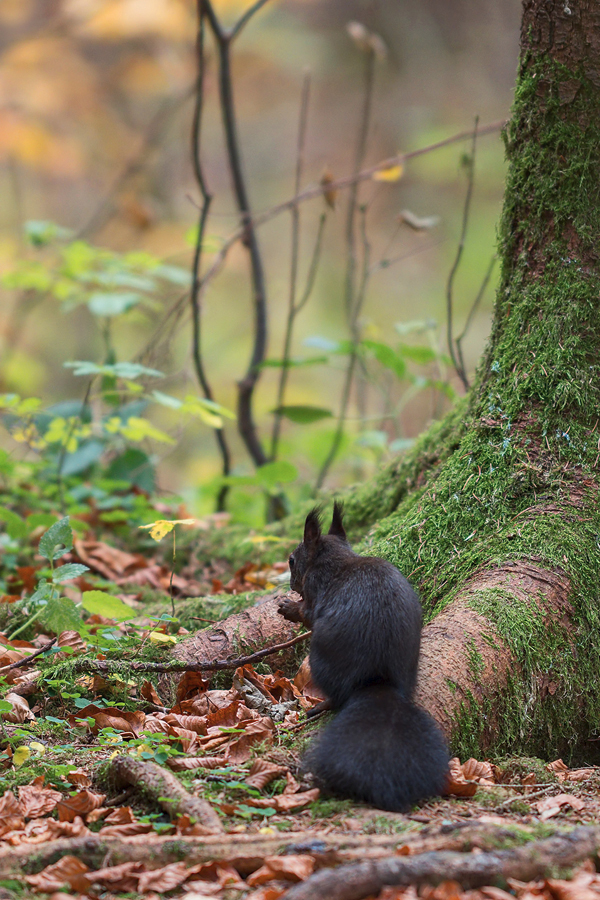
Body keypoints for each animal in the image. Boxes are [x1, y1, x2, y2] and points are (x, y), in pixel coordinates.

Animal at [278, 502, 448, 812]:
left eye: (292, 560)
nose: (293, 585)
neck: (336, 557)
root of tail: (378, 681)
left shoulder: (315, 587)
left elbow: (307, 614)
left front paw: (288, 607)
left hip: (320, 659)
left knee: (336, 697)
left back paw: (320, 706)